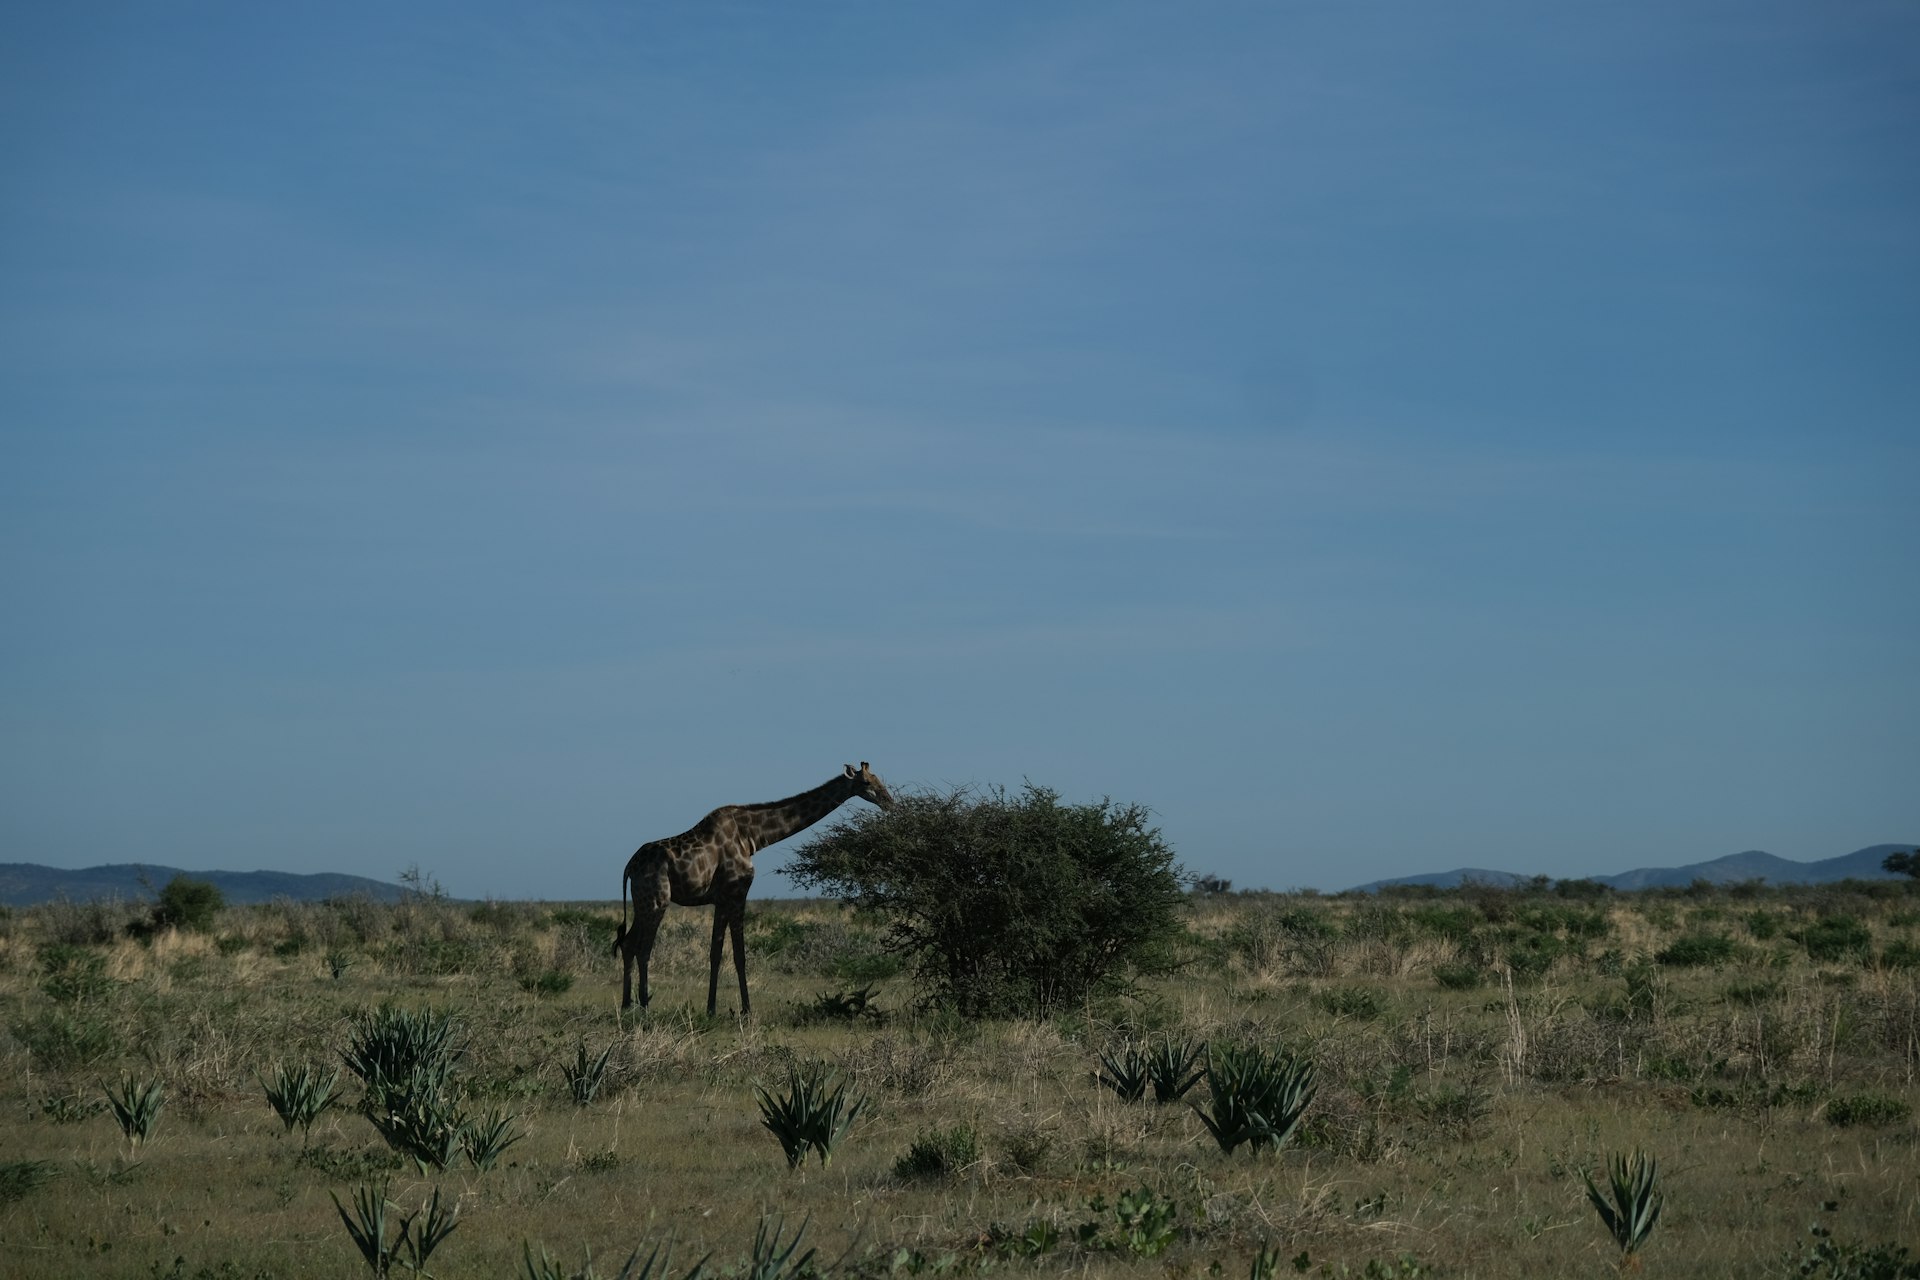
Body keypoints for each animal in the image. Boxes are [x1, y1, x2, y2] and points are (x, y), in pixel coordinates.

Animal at [612, 762, 895, 1016]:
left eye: (879, 779)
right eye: (866, 782)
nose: (889, 802)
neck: (753, 837)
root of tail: (629, 867)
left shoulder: (721, 899)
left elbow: (716, 953)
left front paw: (711, 1009)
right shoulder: (738, 891)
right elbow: (739, 954)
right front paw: (746, 1009)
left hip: (642, 901)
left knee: (628, 943)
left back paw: (627, 1005)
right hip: (657, 900)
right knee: (644, 948)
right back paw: (644, 1006)